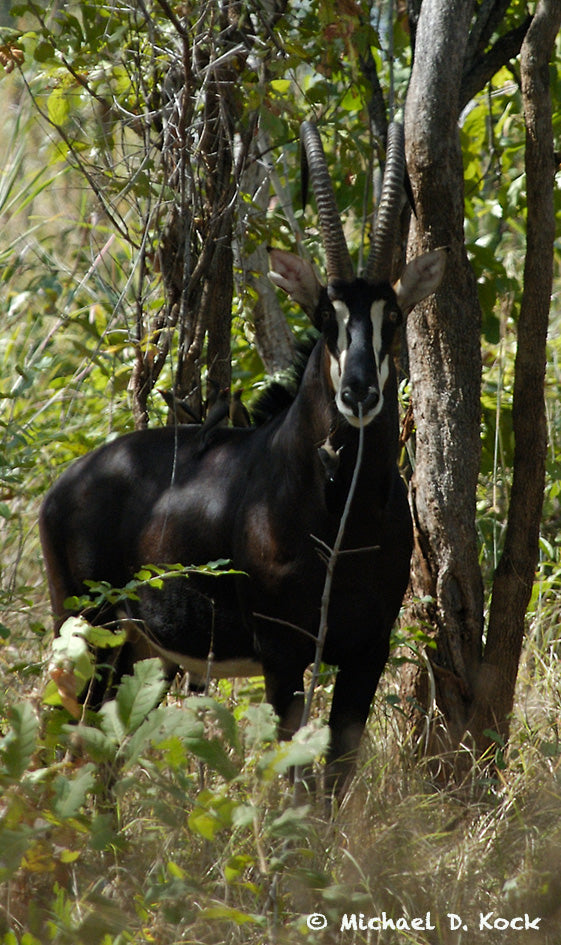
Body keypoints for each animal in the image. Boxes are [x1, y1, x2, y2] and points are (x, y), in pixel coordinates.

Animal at [39, 118, 446, 796]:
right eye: (325, 314)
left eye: (391, 315)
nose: (359, 391)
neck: (343, 515)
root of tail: (64, 485)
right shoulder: (284, 655)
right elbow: (298, 781)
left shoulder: (368, 650)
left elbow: (335, 781)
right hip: (88, 634)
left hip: (145, 657)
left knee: (102, 759)